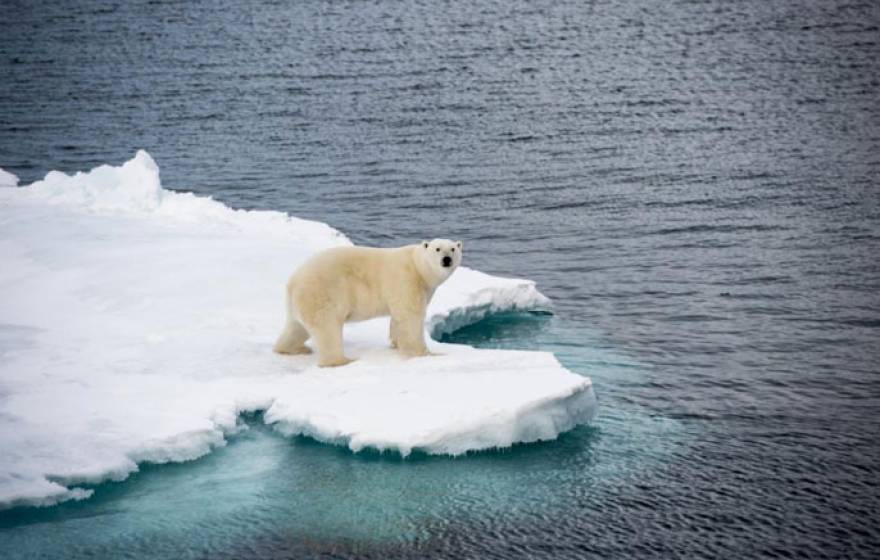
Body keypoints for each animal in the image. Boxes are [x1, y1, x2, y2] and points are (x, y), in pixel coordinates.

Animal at [274, 239, 463, 367]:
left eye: (453, 248)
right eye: (438, 249)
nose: (446, 259)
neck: (418, 267)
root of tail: (293, 281)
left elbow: (398, 318)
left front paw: (395, 343)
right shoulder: (406, 280)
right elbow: (410, 316)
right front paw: (425, 354)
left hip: (300, 302)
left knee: (296, 327)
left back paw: (293, 349)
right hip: (323, 293)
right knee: (327, 328)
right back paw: (342, 361)